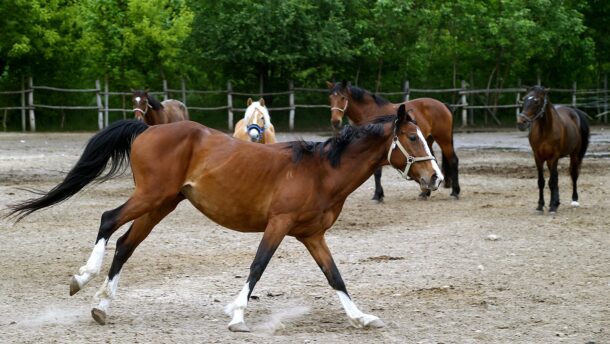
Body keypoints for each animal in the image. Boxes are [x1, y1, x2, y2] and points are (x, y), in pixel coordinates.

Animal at [4, 104, 442, 330]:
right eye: (412, 138)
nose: (435, 178)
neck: (321, 170)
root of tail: (146, 130)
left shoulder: (311, 235)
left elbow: (335, 276)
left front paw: (362, 317)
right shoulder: (278, 225)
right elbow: (258, 267)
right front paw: (237, 315)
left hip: (162, 204)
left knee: (126, 244)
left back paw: (102, 307)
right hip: (150, 196)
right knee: (108, 221)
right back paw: (81, 279)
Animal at [326, 80, 458, 202]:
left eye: (343, 97)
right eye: (331, 98)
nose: (335, 121)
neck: (369, 111)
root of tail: (443, 105)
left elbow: (377, 173)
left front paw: (378, 195)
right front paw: (379, 194)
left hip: (444, 139)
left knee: (453, 160)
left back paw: (455, 192)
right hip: (428, 141)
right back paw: (425, 193)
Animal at [516, 86, 588, 214]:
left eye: (536, 101)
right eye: (524, 99)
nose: (521, 123)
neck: (545, 130)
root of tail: (574, 111)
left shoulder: (553, 157)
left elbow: (552, 182)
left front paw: (552, 207)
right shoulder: (538, 157)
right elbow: (542, 181)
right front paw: (540, 206)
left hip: (574, 155)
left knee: (573, 174)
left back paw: (574, 200)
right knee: (556, 177)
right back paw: (556, 202)